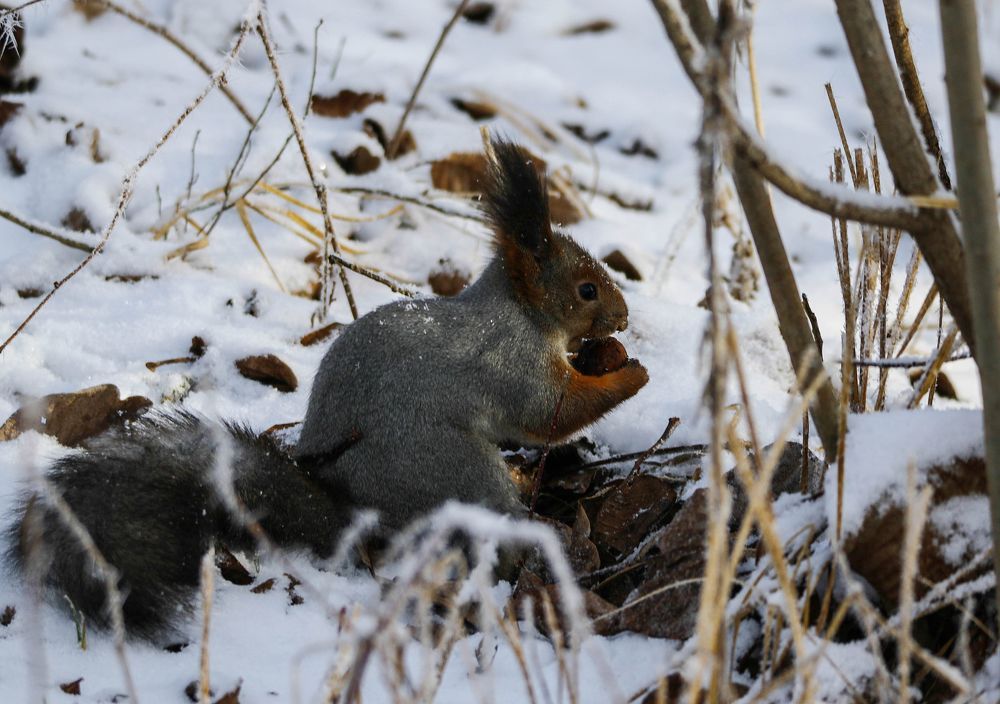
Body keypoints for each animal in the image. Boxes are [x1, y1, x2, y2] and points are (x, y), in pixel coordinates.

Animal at [5, 138, 649, 639]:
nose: (623, 316)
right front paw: (631, 373)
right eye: (587, 289)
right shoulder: (511, 362)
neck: (519, 311)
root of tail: (356, 512)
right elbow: (552, 410)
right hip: (455, 471)